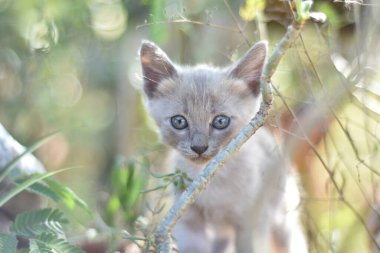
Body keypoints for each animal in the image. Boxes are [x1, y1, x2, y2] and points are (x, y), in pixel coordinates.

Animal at [138, 40, 308, 252]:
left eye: (220, 121)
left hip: (282, 219)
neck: (210, 181)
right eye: (179, 121)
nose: (199, 147)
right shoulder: (189, 221)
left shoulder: (249, 223)